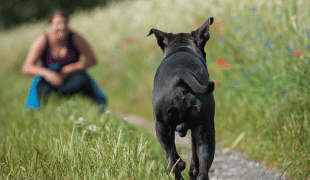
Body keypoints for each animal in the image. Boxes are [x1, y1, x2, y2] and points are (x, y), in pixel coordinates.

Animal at [148, 17, 216, 180]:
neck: (182, 48)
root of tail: (182, 72)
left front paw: (183, 164)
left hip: (162, 127)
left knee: (172, 161)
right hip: (205, 128)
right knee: (201, 162)